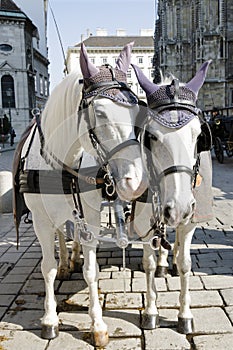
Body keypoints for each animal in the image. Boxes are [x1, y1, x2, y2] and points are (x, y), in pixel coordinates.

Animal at [17, 42, 147, 346]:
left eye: (136, 112)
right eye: (99, 113)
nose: (135, 182)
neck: (62, 163)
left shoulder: (90, 215)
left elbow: (91, 270)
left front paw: (97, 324)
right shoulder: (40, 221)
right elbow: (47, 267)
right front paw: (50, 319)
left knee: (72, 231)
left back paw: (73, 256)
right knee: (60, 235)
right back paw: (66, 261)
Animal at [130, 60, 212, 334]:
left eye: (198, 136)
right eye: (152, 136)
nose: (179, 208)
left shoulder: (190, 220)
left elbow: (186, 263)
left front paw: (184, 315)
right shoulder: (144, 221)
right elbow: (148, 263)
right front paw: (151, 312)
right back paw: (164, 263)